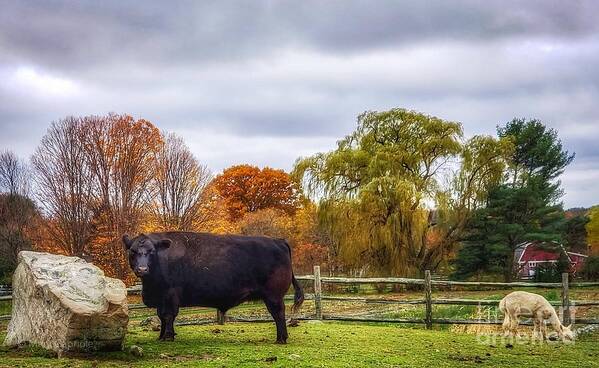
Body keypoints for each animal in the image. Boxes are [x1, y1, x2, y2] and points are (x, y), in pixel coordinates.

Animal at [122, 231, 304, 344]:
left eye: (152, 251)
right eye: (132, 251)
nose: (142, 269)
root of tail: (278, 240)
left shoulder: (171, 295)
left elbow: (168, 316)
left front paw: (168, 336)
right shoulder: (161, 299)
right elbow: (161, 317)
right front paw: (161, 337)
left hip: (274, 296)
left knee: (279, 314)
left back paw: (281, 339)